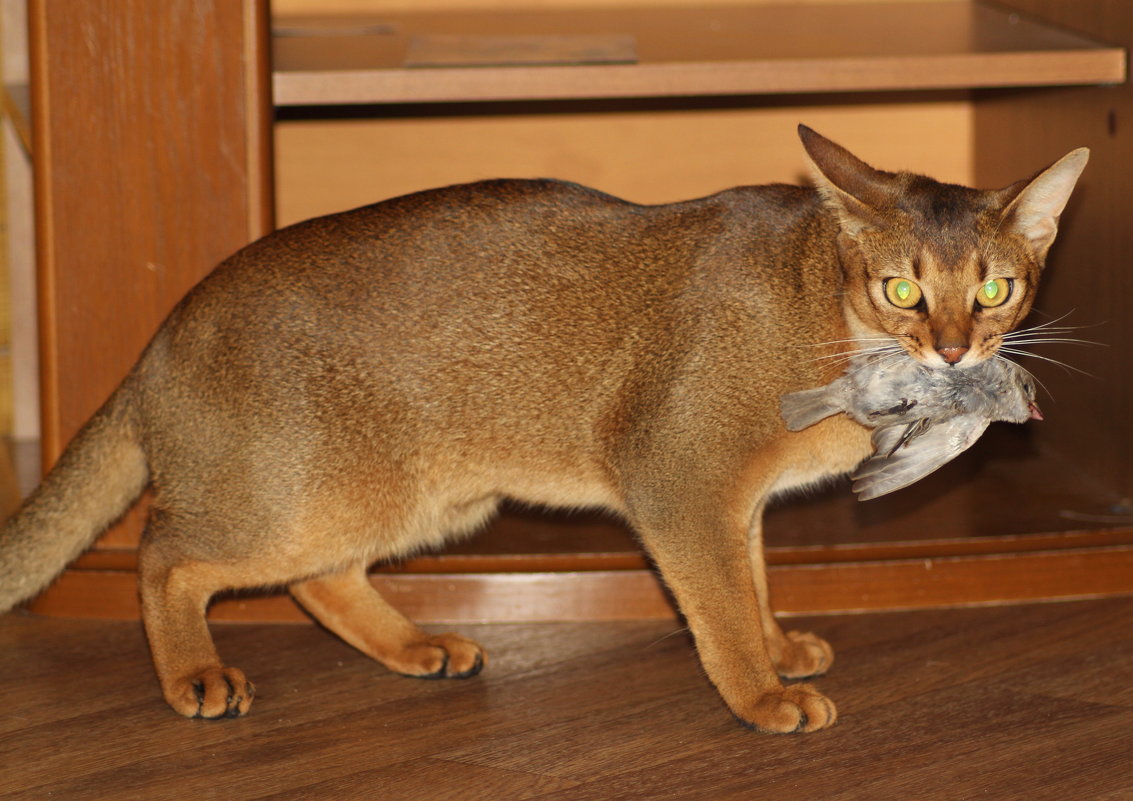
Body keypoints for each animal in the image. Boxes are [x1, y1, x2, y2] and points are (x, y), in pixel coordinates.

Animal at [0, 125, 1087, 734]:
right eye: (902, 288)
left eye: (994, 287)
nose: (952, 348)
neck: (815, 303)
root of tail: (159, 339)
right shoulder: (678, 480)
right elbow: (717, 605)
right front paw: (759, 695)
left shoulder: (729, 502)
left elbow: (750, 579)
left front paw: (777, 648)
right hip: (302, 496)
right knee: (166, 553)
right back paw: (194, 674)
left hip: (417, 499)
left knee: (317, 577)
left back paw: (417, 647)